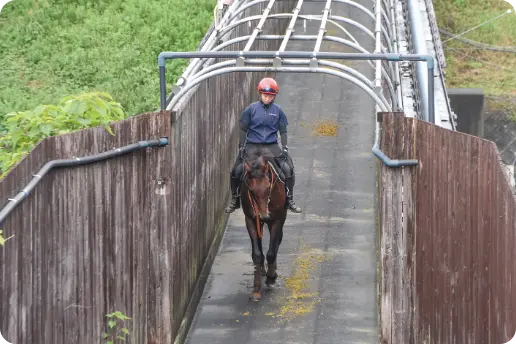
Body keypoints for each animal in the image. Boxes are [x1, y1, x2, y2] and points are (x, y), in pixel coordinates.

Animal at [240, 145, 288, 300]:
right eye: (251, 189)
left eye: (268, 187)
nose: (264, 215)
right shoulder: (250, 219)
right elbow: (256, 253)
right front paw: (256, 289)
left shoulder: (277, 220)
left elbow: (272, 251)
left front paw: (271, 278)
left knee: (277, 241)